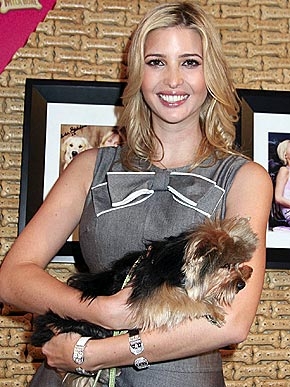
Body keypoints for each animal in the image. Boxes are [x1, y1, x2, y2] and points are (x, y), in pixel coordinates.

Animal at [31, 217, 258, 348]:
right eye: (226, 265)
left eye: (237, 264)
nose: (242, 284)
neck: (177, 263)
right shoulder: (154, 296)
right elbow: (186, 300)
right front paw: (214, 310)